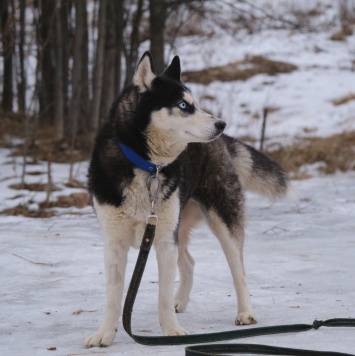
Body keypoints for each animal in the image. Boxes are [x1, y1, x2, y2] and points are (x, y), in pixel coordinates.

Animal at [85, 51, 290, 346]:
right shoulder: (115, 243)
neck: (147, 167)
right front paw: (105, 334)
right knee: (189, 262)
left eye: (197, 104)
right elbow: (113, 297)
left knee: (238, 269)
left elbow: (162, 293)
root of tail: (222, 143)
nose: (221, 123)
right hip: (176, 227)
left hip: (220, 221)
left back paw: (245, 312)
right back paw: (179, 301)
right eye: (183, 105)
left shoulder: (163, 242)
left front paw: (171, 332)